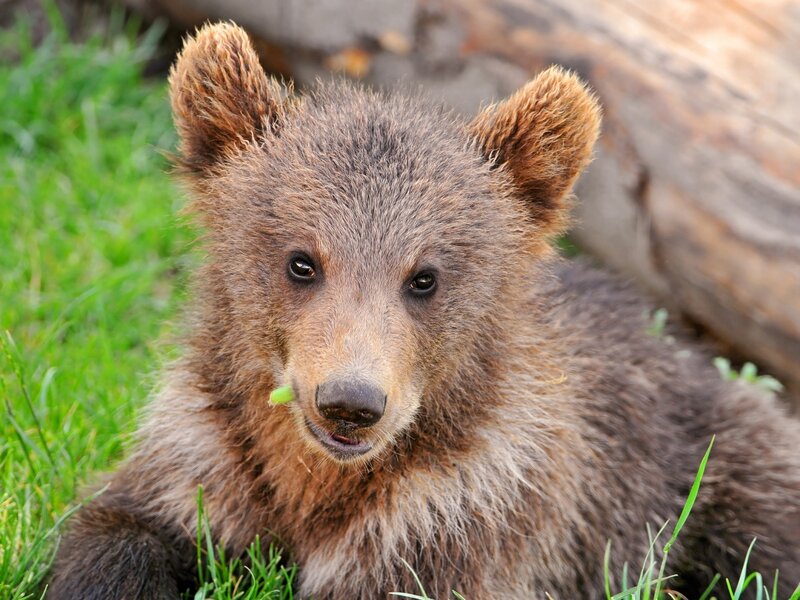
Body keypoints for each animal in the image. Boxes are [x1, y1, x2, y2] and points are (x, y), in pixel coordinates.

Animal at [48, 22, 800, 600]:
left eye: (425, 277)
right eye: (301, 261)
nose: (349, 402)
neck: (316, 483)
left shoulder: (458, 515)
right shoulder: (205, 461)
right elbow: (119, 530)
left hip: (712, 464)